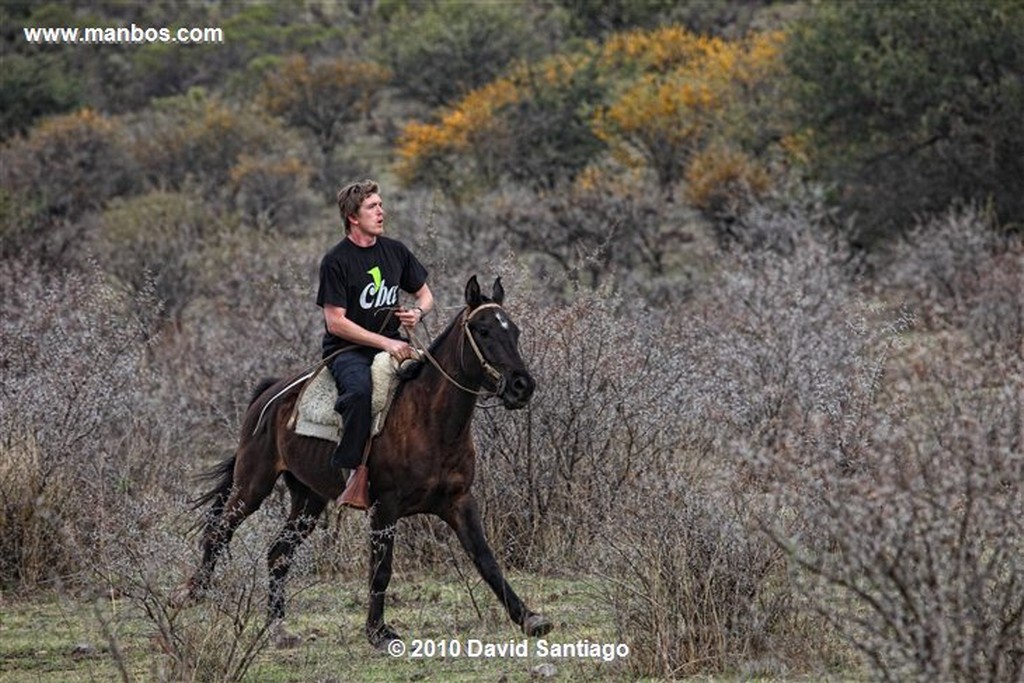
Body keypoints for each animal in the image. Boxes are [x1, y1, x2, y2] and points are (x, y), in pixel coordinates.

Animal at [182, 276, 552, 647]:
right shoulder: (384, 506)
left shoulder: (459, 501)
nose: (522, 385)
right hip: (252, 485)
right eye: (483, 330)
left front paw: (529, 618)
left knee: (278, 553)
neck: (430, 421)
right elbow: (381, 569)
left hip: (308, 499)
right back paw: (194, 594)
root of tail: (268, 394)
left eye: (514, 331)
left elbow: (486, 560)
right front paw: (378, 632)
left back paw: (276, 625)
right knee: (218, 533)